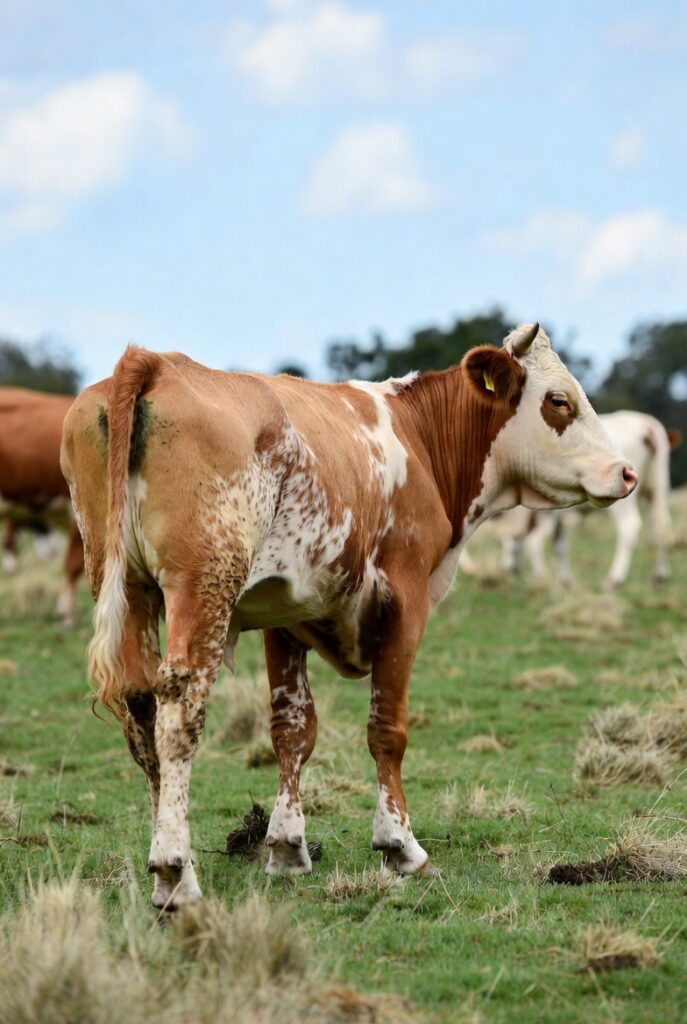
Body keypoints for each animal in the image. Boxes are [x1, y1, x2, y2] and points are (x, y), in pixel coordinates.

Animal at [61, 323, 636, 908]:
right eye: (559, 401)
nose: (626, 472)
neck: (419, 437)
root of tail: (158, 362)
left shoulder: (282, 612)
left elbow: (292, 730)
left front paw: (288, 848)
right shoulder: (405, 602)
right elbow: (388, 729)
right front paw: (399, 845)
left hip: (127, 588)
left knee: (142, 715)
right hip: (203, 588)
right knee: (179, 713)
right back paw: (177, 871)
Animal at [497, 411, 679, 588]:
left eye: (509, 536)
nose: (509, 568)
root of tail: (645, 423)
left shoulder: (551, 514)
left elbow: (535, 542)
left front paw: (542, 577)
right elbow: (560, 545)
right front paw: (565, 581)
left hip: (625, 498)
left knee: (630, 527)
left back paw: (614, 579)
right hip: (657, 489)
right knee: (660, 527)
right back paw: (659, 576)